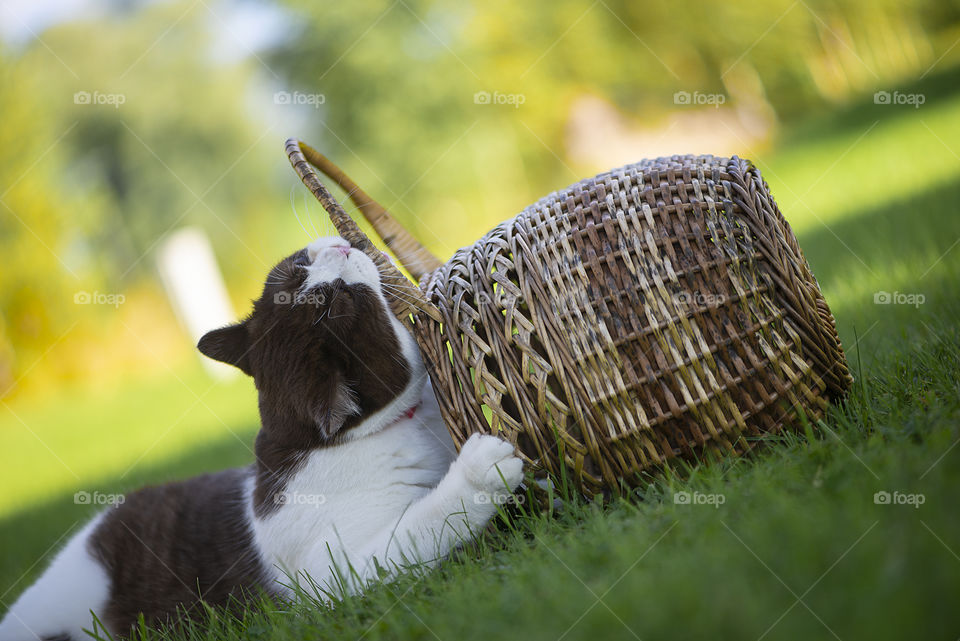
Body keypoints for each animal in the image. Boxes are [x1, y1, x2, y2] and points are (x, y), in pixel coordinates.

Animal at [0, 238, 524, 636]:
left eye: (298, 271)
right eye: (340, 299)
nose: (338, 249)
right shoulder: (335, 575)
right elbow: (420, 530)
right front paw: (482, 471)